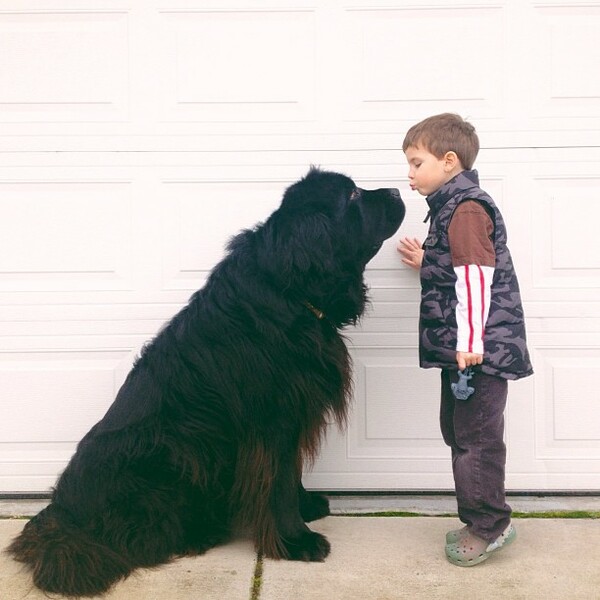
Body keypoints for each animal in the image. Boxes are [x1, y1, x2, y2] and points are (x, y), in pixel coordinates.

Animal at [7, 168, 404, 596]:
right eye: (352, 196)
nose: (398, 190)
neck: (288, 290)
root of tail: (63, 515)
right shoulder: (274, 418)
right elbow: (279, 479)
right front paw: (296, 539)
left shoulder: (293, 411)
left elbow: (292, 470)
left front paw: (306, 507)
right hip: (169, 457)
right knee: (136, 538)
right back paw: (200, 533)